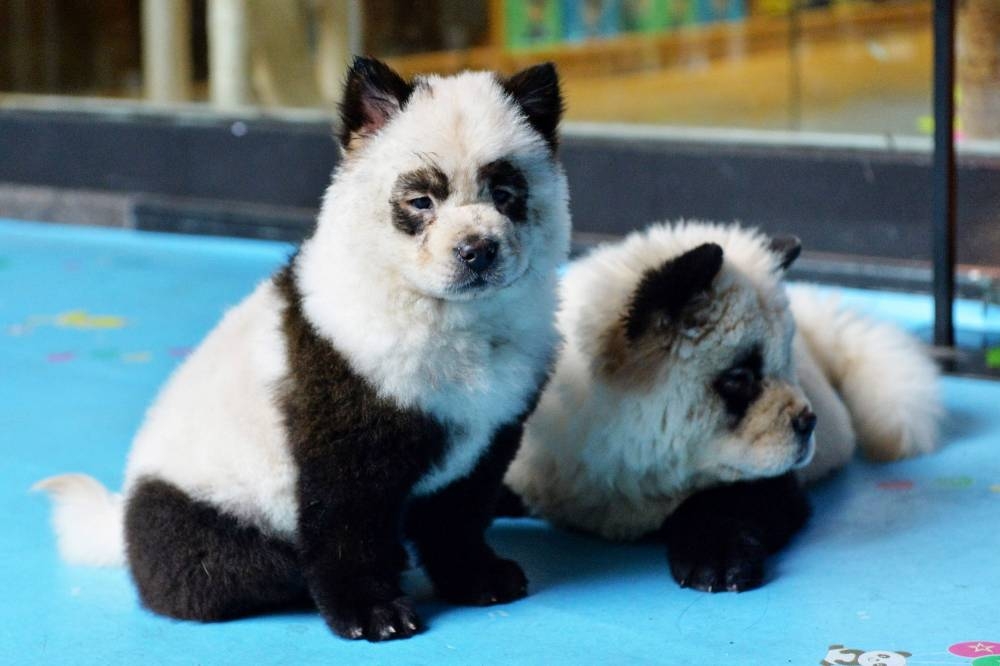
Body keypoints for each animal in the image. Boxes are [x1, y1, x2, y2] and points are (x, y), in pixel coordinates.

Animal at [35, 59, 572, 640]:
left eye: (506, 194)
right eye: (420, 202)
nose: (477, 251)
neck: (452, 314)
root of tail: (122, 522)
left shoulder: (496, 418)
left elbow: (461, 508)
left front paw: (477, 576)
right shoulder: (344, 395)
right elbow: (344, 519)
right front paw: (371, 611)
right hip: (207, 510)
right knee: (225, 571)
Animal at [504, 222, 940, 592]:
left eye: (786, 364)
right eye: (739, 378)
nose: (807, 422)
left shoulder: (769, 480)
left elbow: (734, 500)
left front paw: (716, 560)